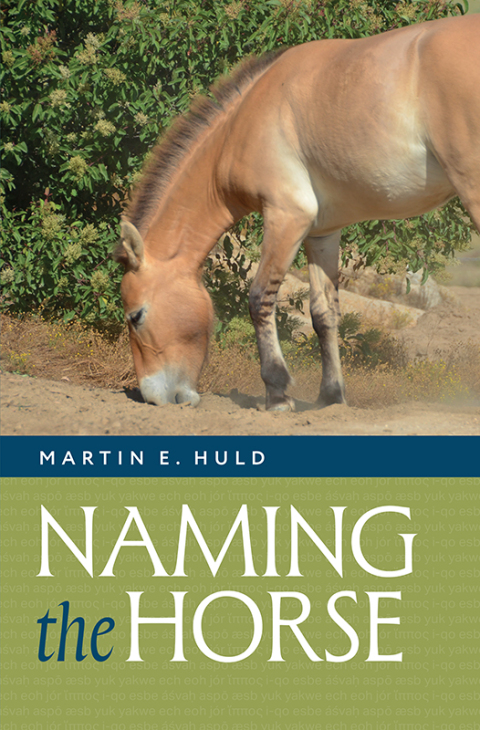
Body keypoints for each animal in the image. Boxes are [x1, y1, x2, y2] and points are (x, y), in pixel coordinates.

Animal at [114, 14, 480, 411]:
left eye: (136, 316)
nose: (154, 397)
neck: (241, 123)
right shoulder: (321, 233)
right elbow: (324, 314)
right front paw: (330, 396)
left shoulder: (287, 216)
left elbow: (259, 298)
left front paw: (277, 392)